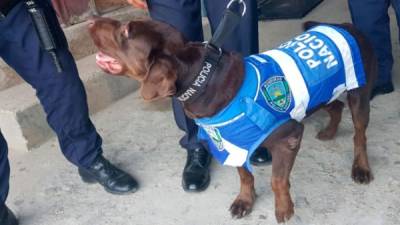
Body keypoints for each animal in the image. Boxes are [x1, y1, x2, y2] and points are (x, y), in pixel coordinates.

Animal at [88, 16, 378, 222]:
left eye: (126, 31)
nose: (90, 22)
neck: (203, 80)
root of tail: (343, 25)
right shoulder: (232, 143)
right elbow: (244, 176)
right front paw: (245, 201)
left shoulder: (290, 137)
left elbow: (277, 180)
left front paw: (284, 209)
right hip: (321, 91)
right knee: (335, 106)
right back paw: (329, 131)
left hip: (359, 94)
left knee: (360, 134)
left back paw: (361, 168)